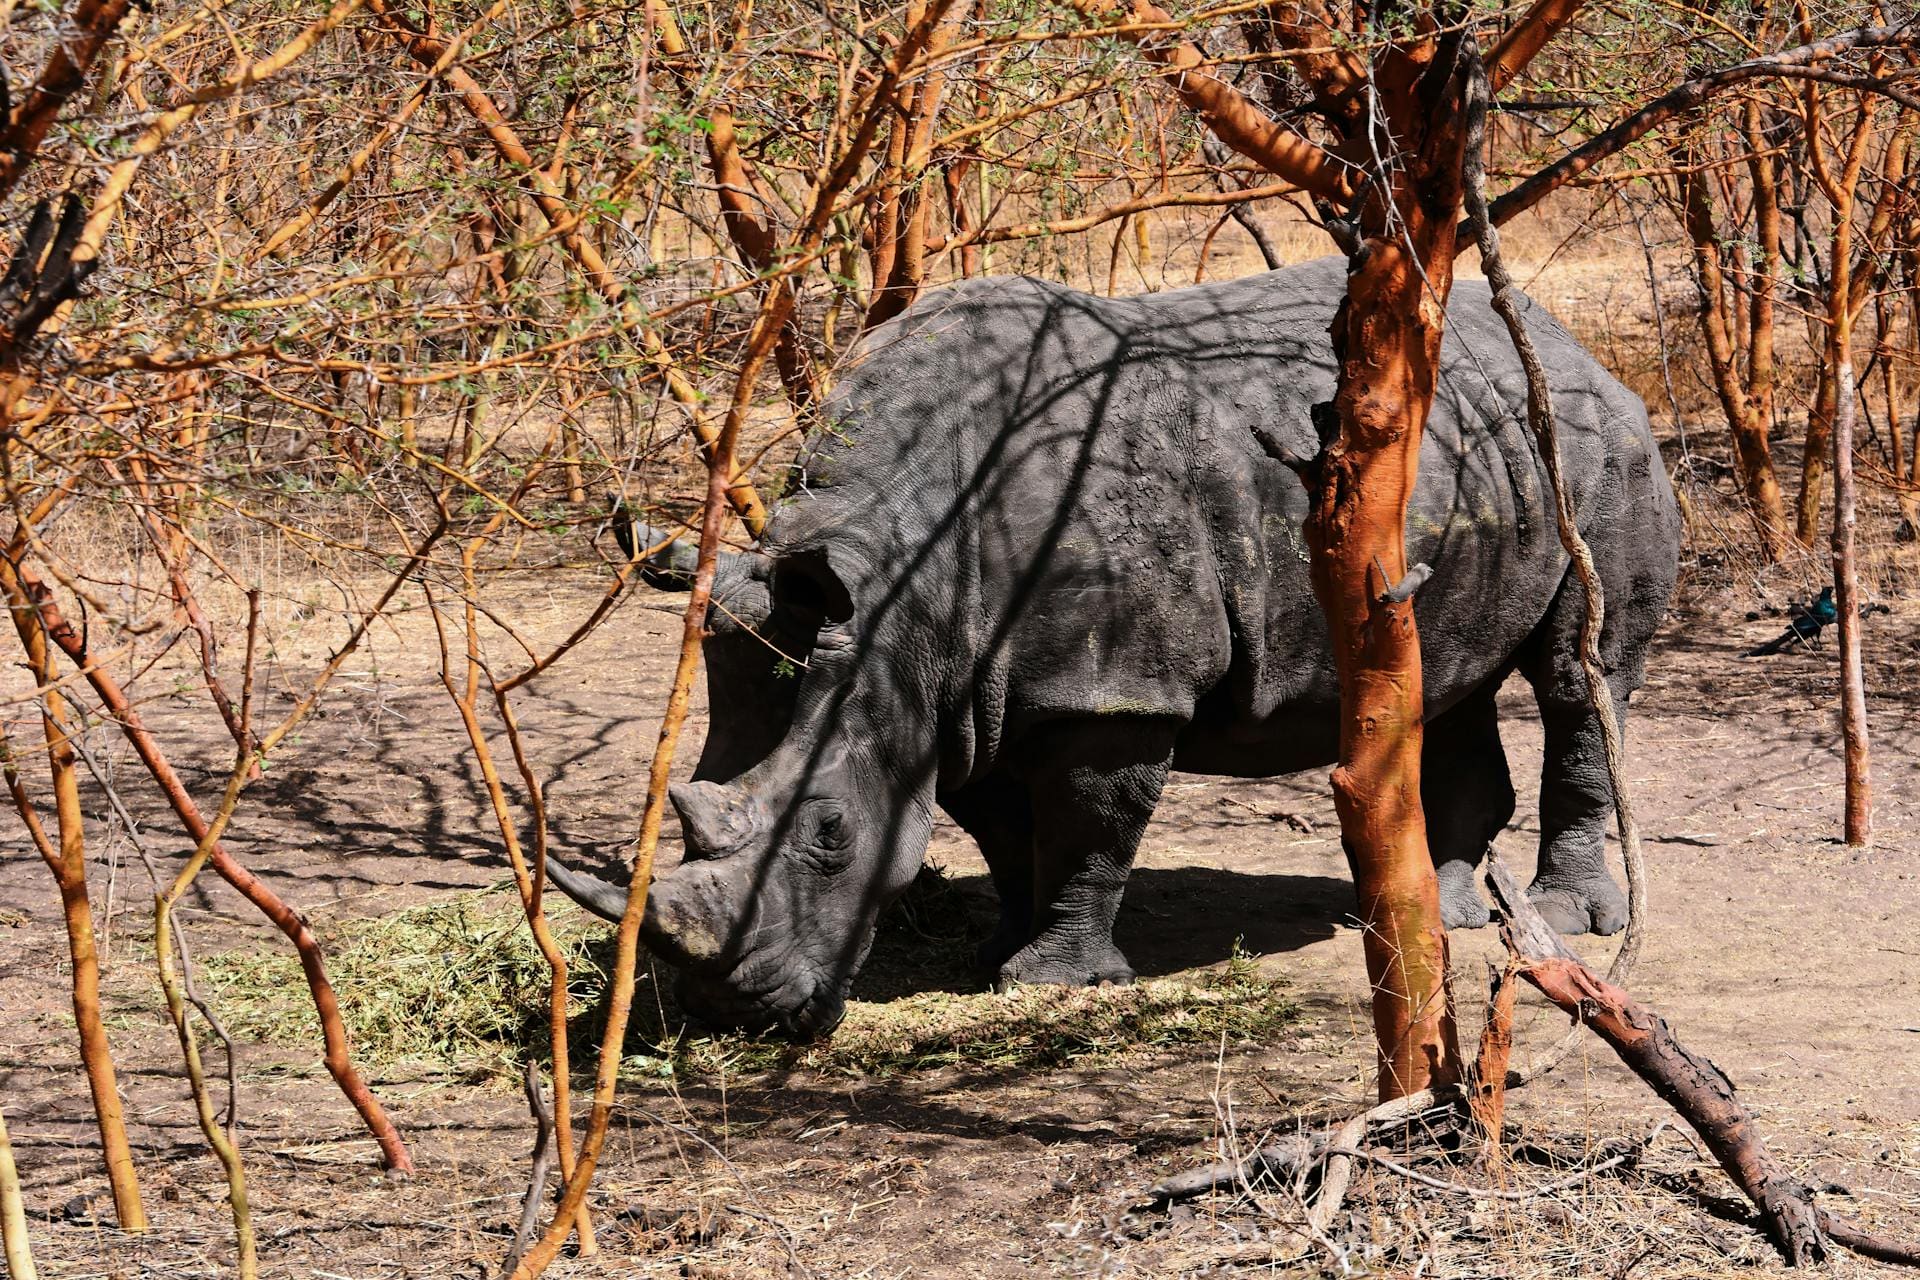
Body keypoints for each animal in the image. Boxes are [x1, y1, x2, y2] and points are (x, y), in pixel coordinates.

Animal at [549, 256, 1681, 1038]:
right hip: (1480, 463)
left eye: (829, 833)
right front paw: (996, 949)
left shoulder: (1111, 688)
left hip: (1604, 447)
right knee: (1447, 676)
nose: (736, 1015)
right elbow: (1001, 825)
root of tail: (1571, 344)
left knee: (1578, 677)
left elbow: (1092, 828)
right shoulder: (963, 688)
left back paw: (1563, 919)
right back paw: (1445, 913)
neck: (899, 584)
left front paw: (1053, 978)